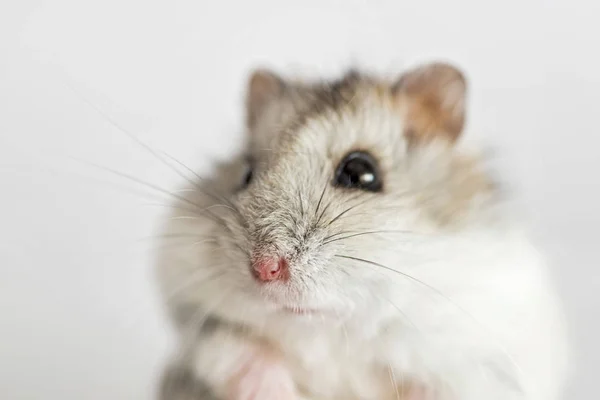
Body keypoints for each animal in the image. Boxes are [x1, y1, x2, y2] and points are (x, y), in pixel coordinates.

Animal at [155, 62, 568, 400]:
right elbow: (238, 354)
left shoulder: (482, 360)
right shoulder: (203, 330)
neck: (331, 328)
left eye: (360, 172)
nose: (264, 269)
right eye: (245, 174)